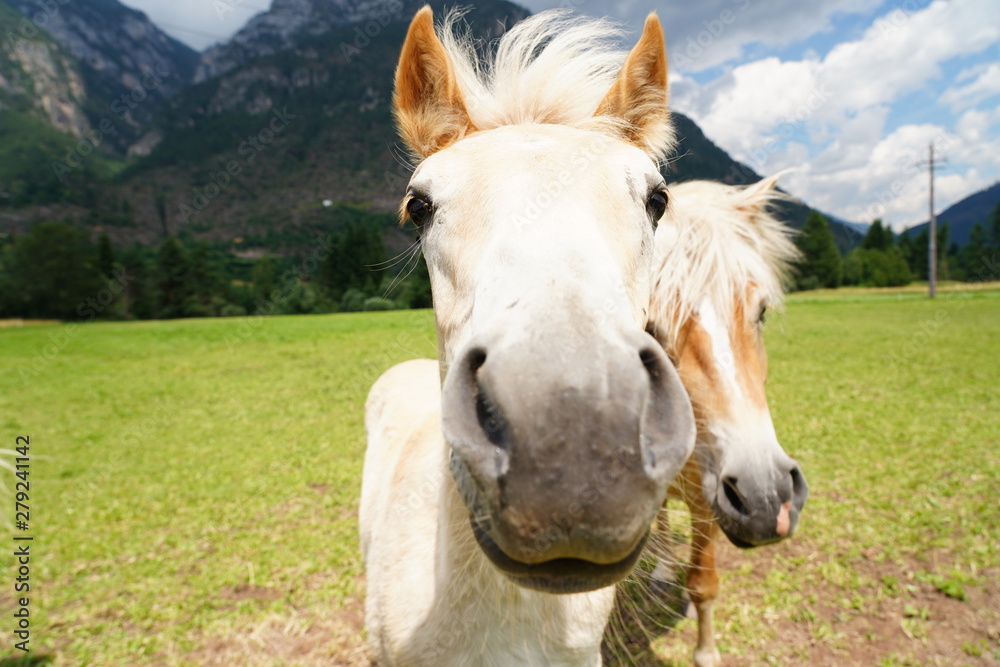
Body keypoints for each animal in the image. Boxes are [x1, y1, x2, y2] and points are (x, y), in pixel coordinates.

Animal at [627, 175, 810, 666]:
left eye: (760, 312)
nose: (766, 497)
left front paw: (706, 651)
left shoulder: (710, 501)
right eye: (649, 329)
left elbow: (704, 584)